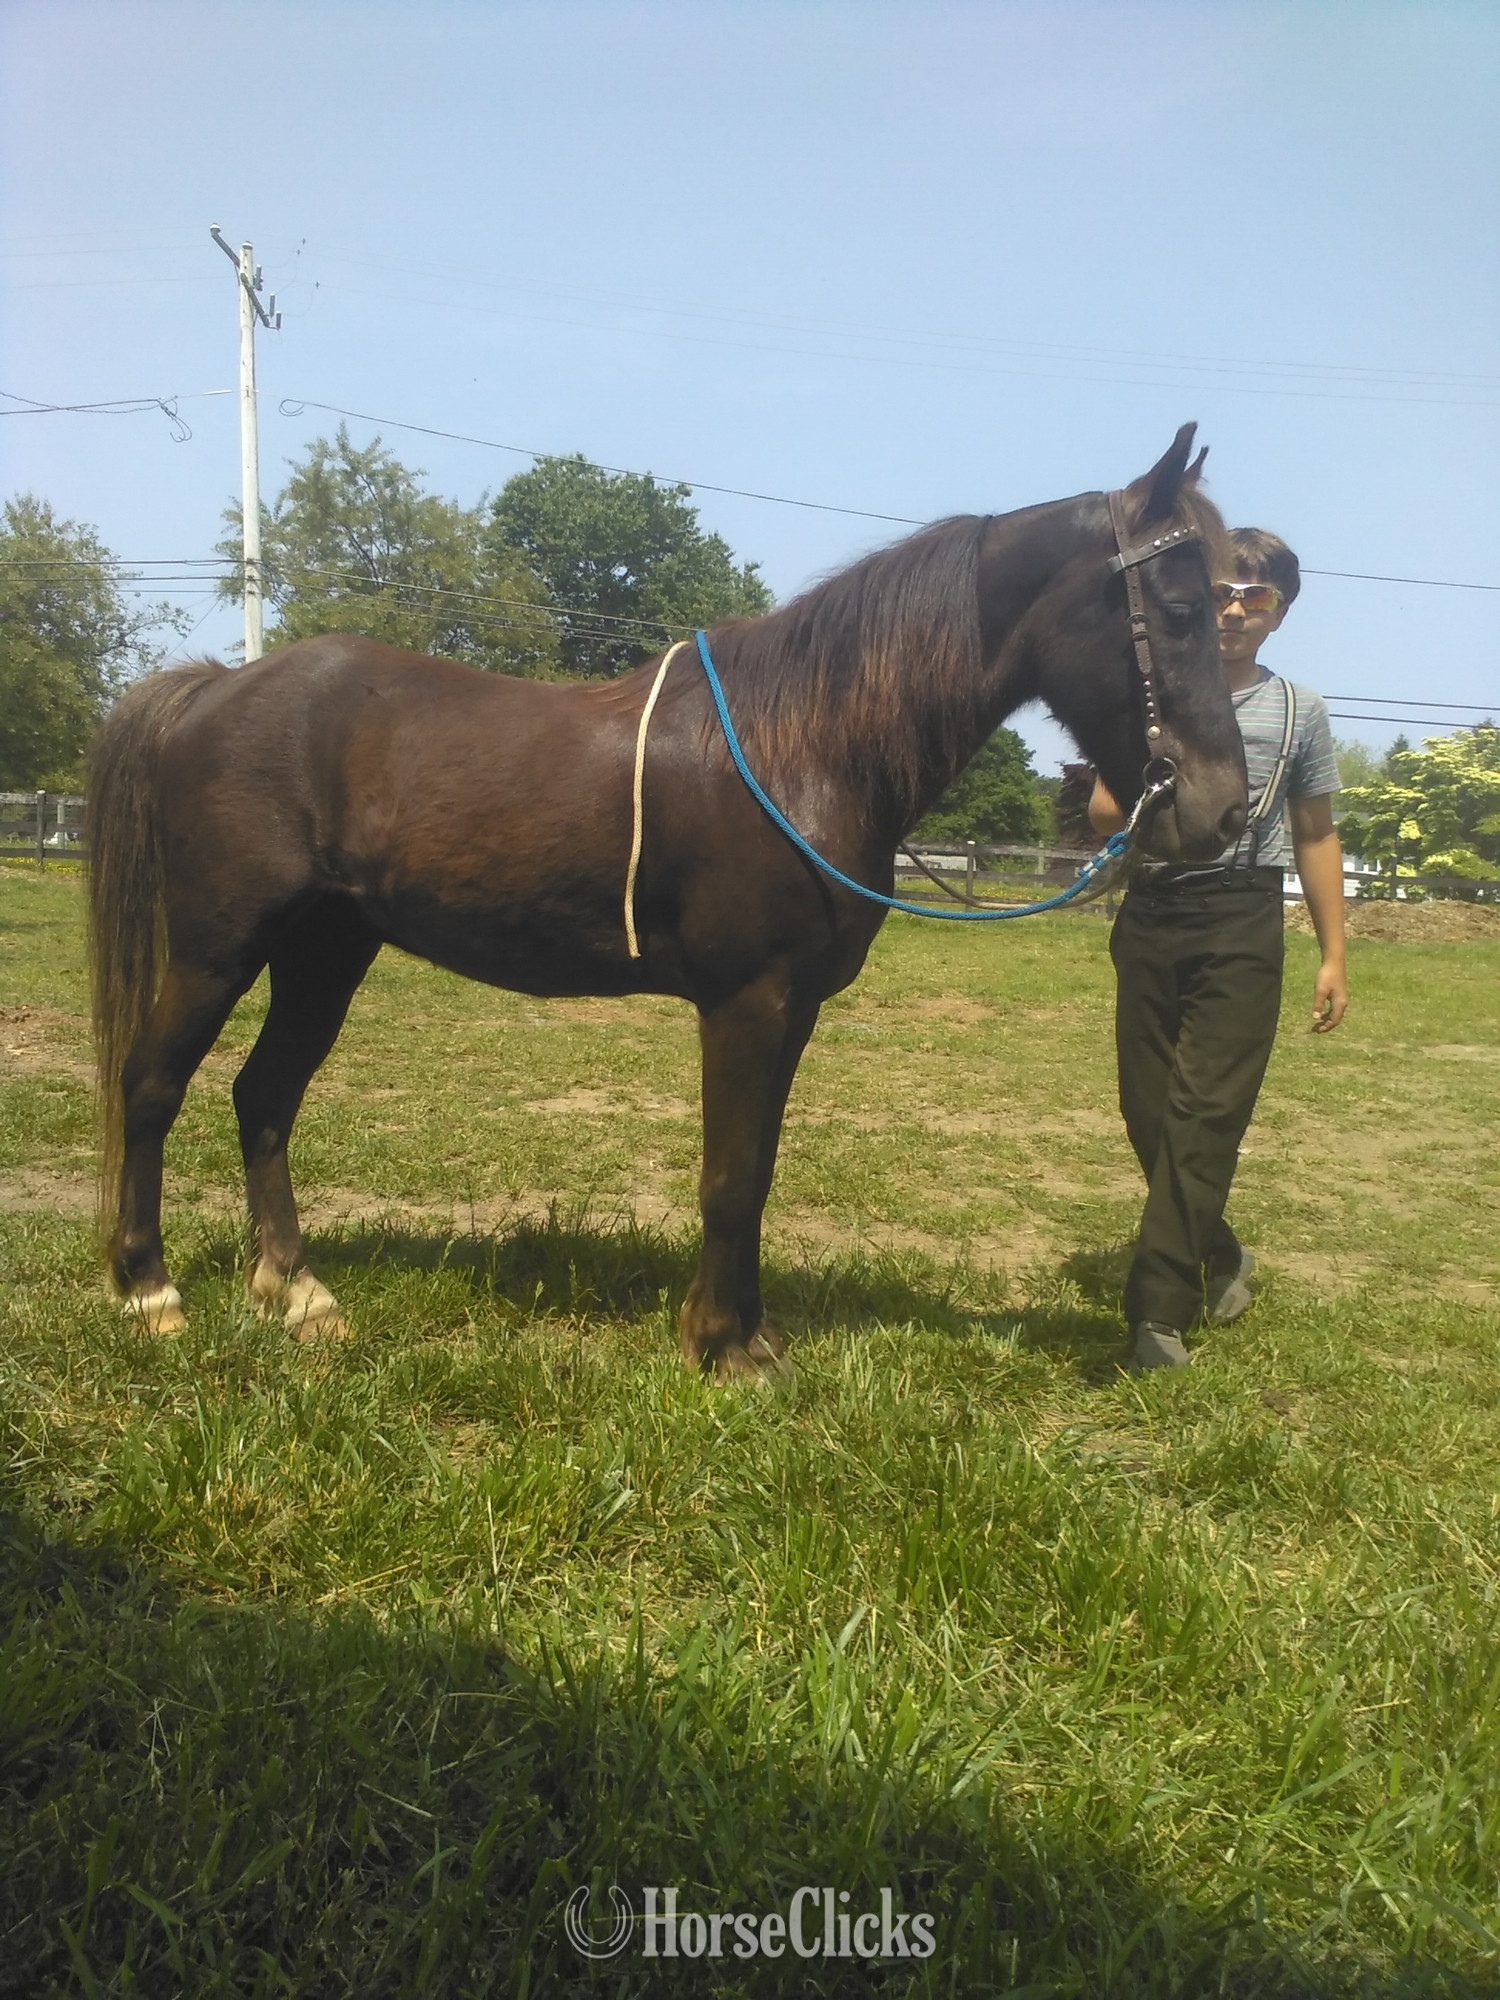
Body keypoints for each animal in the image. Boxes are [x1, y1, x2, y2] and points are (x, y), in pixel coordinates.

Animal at [87, 423, 1247, 1382]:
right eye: (1182, 608)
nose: (1222, 807)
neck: (806, 743)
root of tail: (216, 686)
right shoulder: (747, 1001)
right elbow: (729, 1176)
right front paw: (722, 1348)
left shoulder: (793, 1009)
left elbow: (761, 1169)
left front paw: (751, 1332)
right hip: (218, 944)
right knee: (151, 1086)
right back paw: (148, 1290)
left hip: (325, 951)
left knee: (264, 1096)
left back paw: (294, 1290)